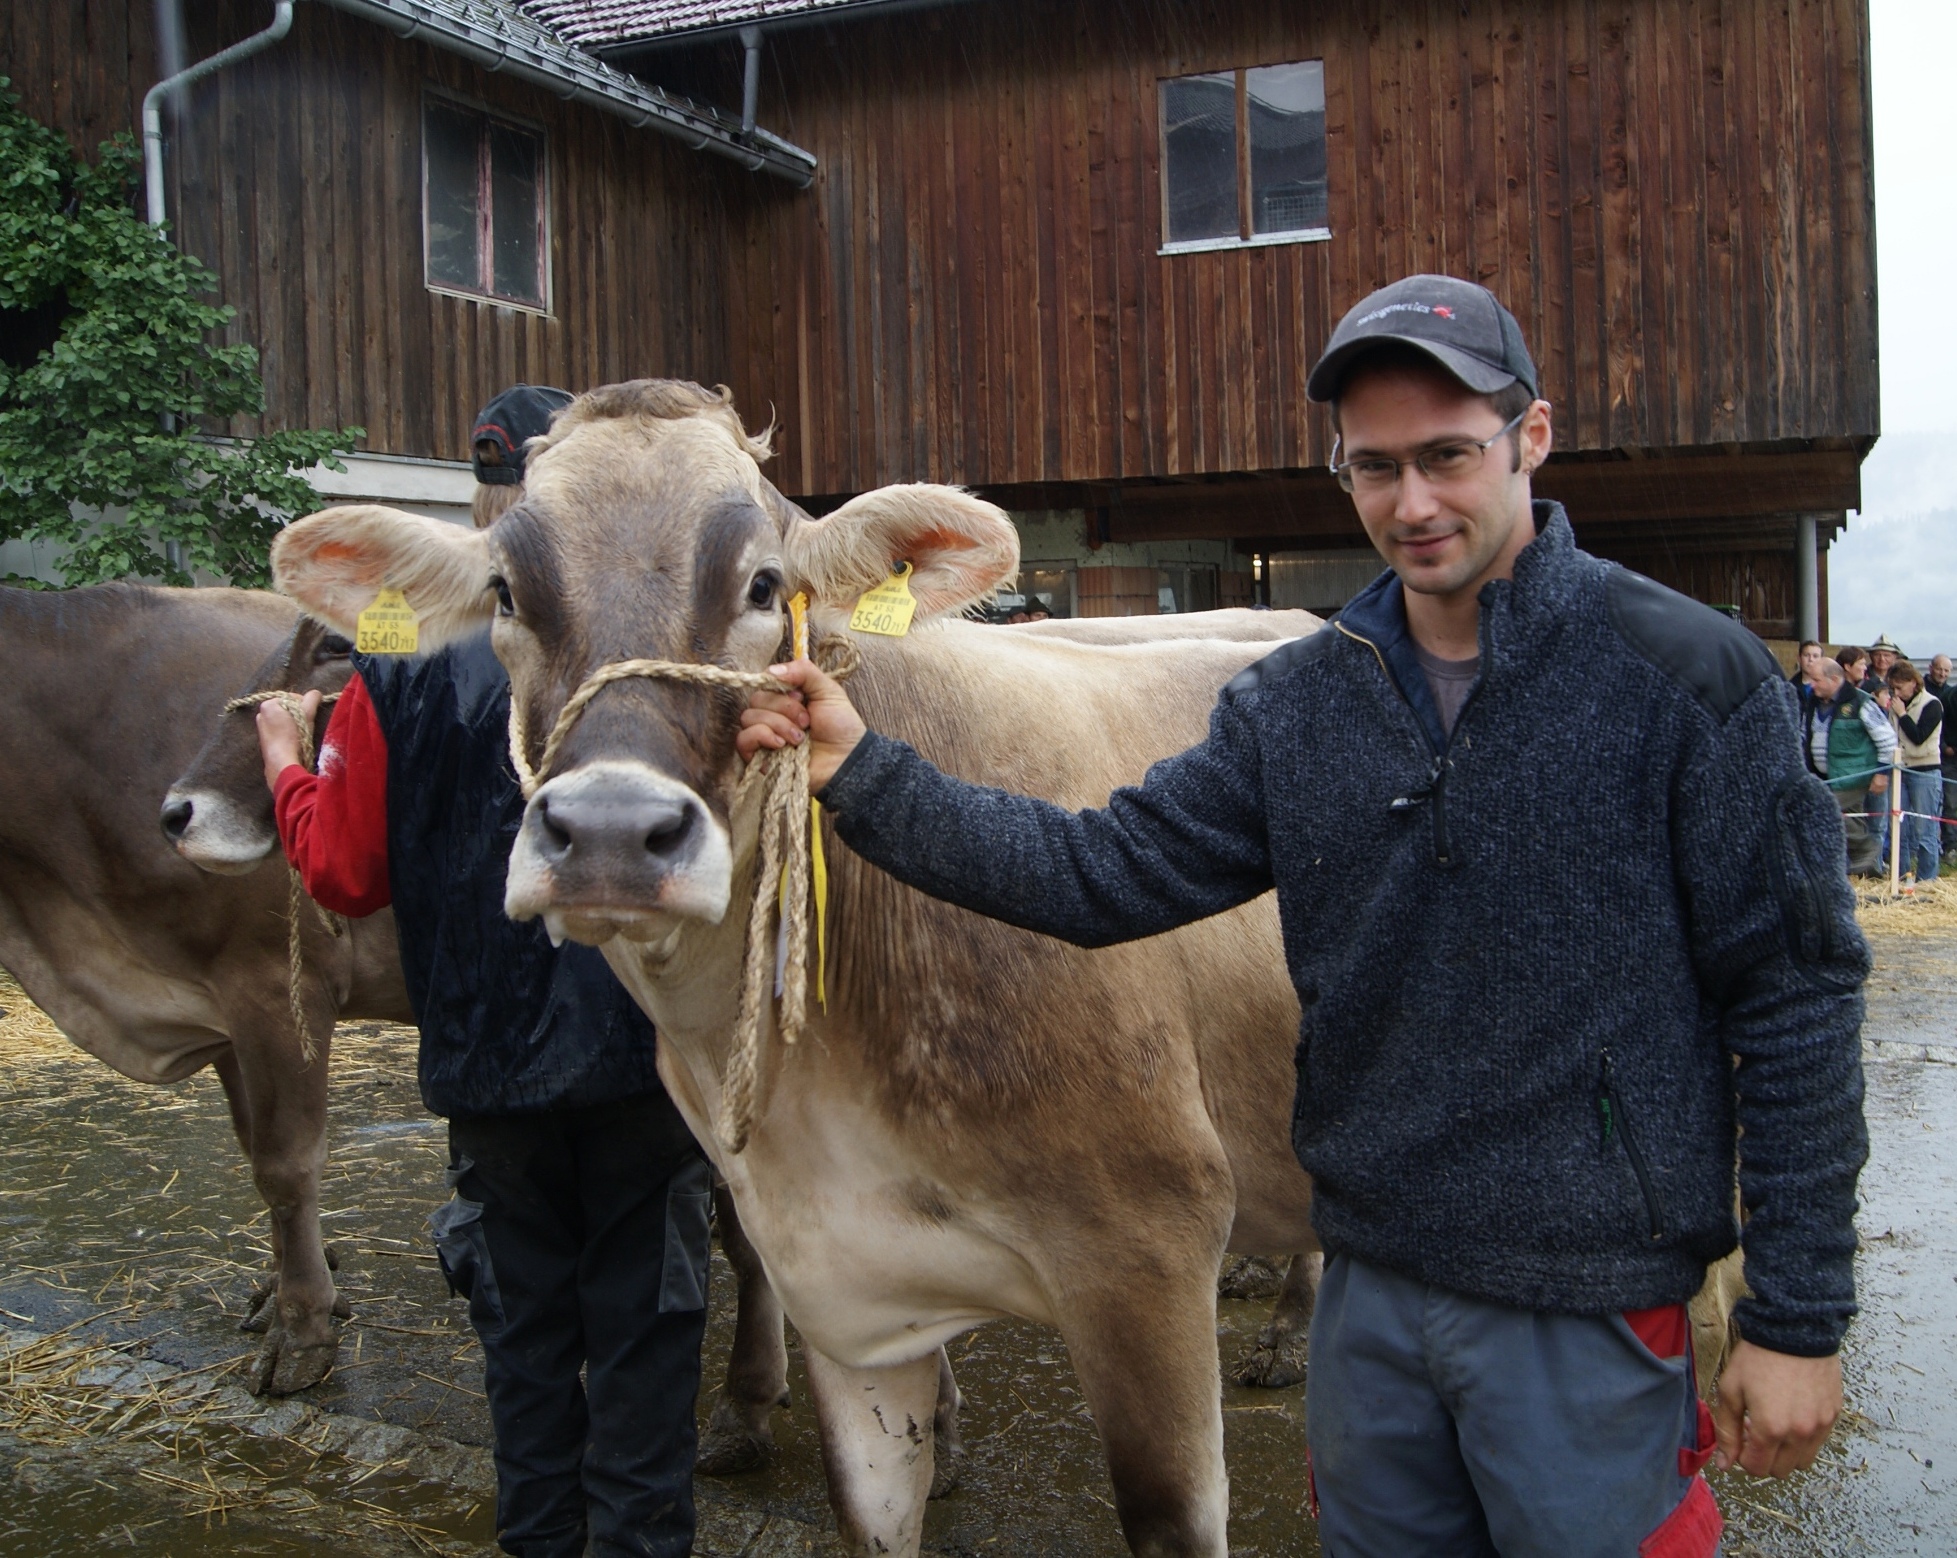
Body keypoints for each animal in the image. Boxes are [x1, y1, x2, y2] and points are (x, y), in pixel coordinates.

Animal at [0, 583, 407, 1395]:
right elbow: (255, 1153)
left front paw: (302, 1332)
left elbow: (286, 1164)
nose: (177, 814)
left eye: (341, 642)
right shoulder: (219, 1007)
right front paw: (285, 1292)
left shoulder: (275, 984)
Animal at [265, 380, 1332, 1558]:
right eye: (506, 588)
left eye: (763, 585)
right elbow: (868, 1510)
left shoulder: (1145, 1250)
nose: (608, 832)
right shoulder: (837, 1285)